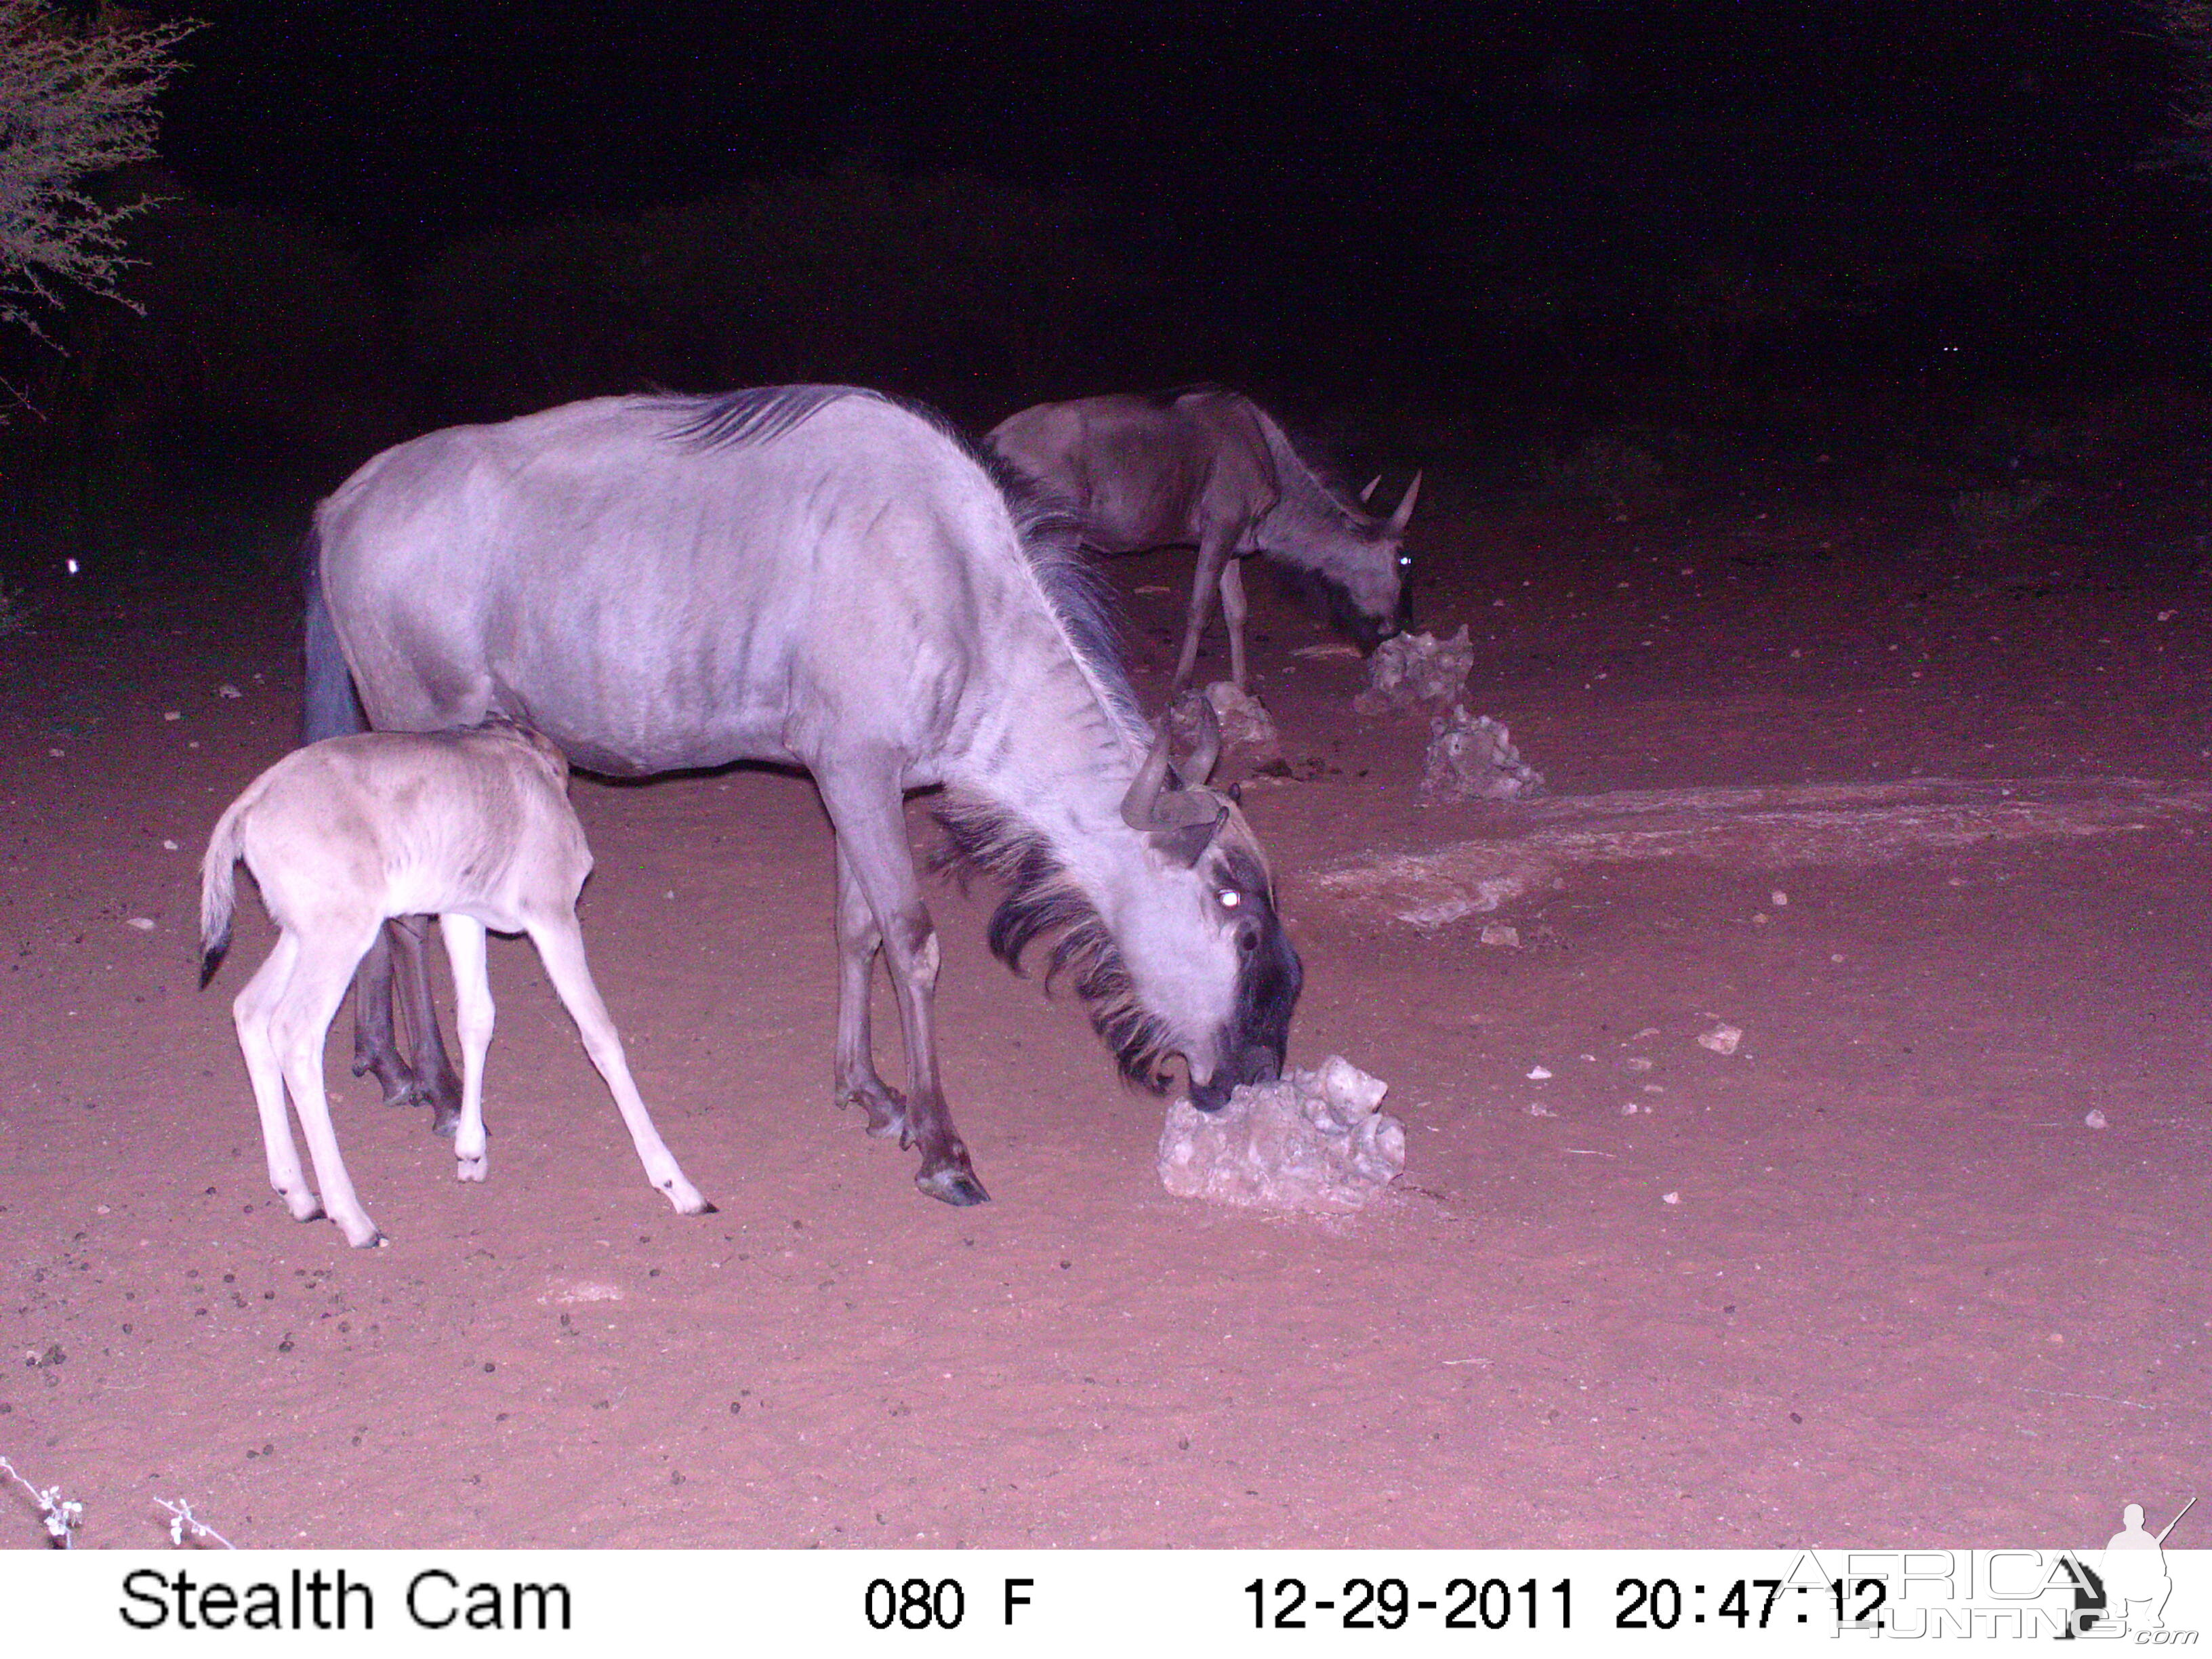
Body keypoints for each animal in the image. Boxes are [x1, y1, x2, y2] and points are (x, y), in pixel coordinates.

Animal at [202, 716, 708, 1247]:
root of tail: (252, 802)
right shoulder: (553, 916)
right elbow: (600, 1035)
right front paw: (676, 1184)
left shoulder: (463, 916)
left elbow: (476, 1020)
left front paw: (470, 1153)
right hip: (339, 937)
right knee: (295, 1033)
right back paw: (354, 1218)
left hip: (303, 935)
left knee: (250, 1009)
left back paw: (297, 1194)